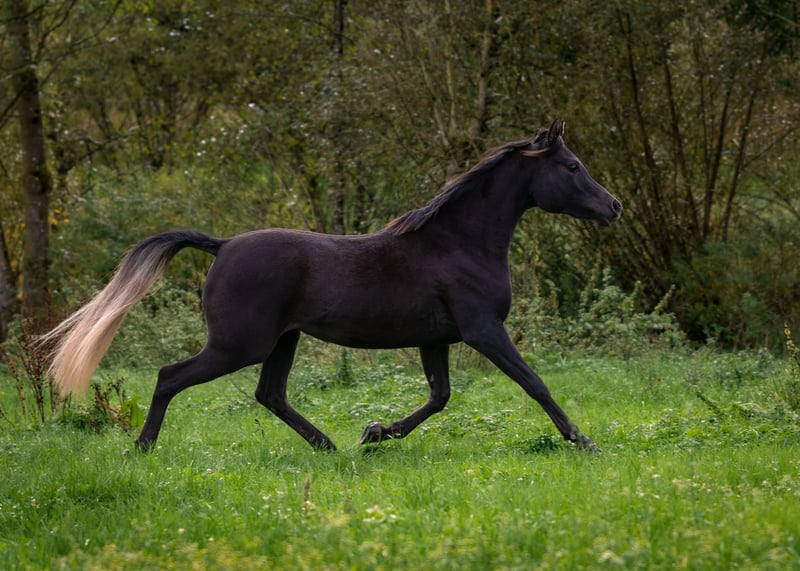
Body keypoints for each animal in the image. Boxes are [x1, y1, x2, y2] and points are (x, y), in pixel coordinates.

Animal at [42, 119, 622, 453]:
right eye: (573, 167)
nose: (614, 206)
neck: (459, 243)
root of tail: (222, 246)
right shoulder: (483, 330)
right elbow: (534, 383)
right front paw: (585, 442)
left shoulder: (435, 339)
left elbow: (440, 397)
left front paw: (374, 433)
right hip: (240, 344)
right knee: (170, 377)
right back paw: (141, 448)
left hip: (283, 340)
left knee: (270, 394)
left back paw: (328, 446)